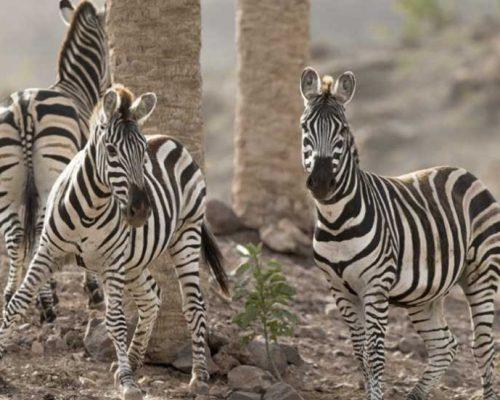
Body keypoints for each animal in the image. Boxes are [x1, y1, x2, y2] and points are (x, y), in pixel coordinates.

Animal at [0, 0, 109, 320]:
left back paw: (12, 296)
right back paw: (47, 306)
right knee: (39, 232)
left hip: (7, 185)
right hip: (51, 176)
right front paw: (92, 291)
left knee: (14, 236)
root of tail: (24, 106)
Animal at [0, 85, 229, 400]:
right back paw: (131, 361)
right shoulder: (48, 251)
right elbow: (17, 302)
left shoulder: (111, 262)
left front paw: (129, 384)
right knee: (151, 297)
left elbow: (116, 322)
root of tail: (170, 139)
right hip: (133, 259)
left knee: (194, 304)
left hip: (186, 234)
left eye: (143, 151)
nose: (141, 211)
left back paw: (199, 376)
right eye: (111, 150)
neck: (90, 207)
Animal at [298, 66, 498, 400]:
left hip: (482, 272)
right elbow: (359, 352)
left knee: (484, 346)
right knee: (445, 345)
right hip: (426, 293)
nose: (323, 183)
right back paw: (415, 394)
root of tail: (463, 172)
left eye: (343, 130)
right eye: (304, 127)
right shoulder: (339, 290)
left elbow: (376, 354)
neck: (336, 221)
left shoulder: (375, 287)